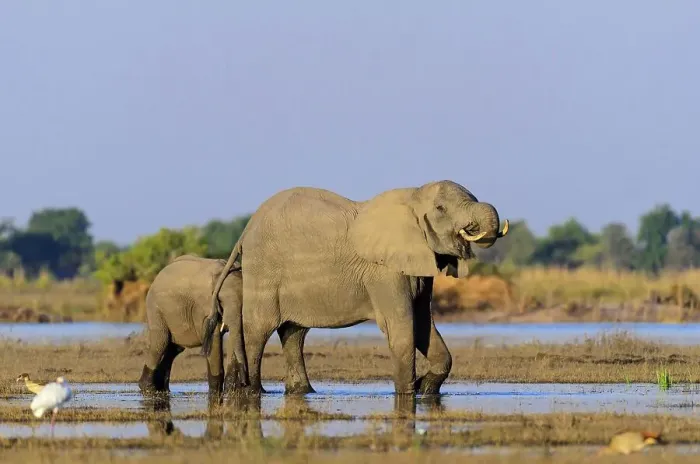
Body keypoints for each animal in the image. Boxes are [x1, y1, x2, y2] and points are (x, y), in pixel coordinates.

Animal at [202, 180, 509, 396]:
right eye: (441, 209)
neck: (412, 196)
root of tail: (245, 230)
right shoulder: (384, 272)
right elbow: (402, 327)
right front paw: (408, 393)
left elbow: (423, 324)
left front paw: (425, 387)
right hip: (264, 269)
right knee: (258, 331)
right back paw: (252, 391)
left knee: (294, 333)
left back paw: (300, 391)